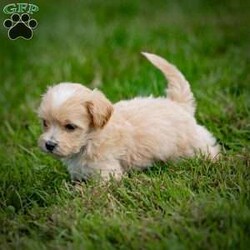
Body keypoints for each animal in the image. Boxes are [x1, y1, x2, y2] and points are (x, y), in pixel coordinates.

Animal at [38, 53, 220, 182]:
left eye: (70, 127)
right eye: (45, 123)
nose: (49, 145)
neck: (90, 140)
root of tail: (177, 104)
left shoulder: (107, 172)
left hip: (192, 143)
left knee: (208, 149)